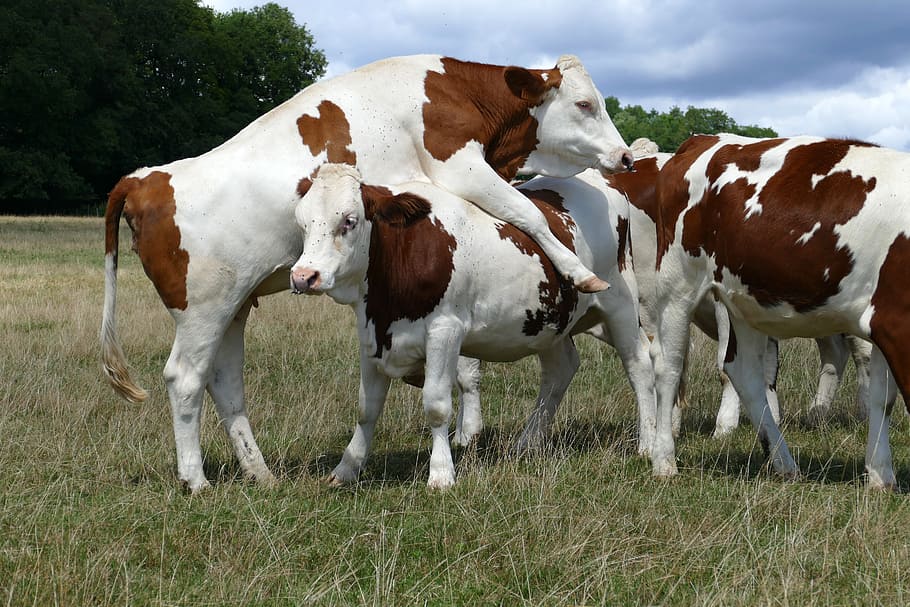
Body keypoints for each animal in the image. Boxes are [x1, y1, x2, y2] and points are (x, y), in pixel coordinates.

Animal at [288, 163, 656, 488]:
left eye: (349, 221)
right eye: (302, 223)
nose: (304, 276)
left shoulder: (444, 331)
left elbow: (436, 405)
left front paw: (441, 474)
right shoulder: (372, 336)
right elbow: (367, 409)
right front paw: (347, 468)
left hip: (620, 304)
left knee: (639, 365)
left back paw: (648, 443)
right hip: (550, 322)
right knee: (560, 370)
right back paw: (527, 442)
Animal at [648, 133, 909, 489]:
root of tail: (706, 139)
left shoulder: (885, 321)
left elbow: (884, 397)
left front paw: (881, 476)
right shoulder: (897, 321)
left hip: (743, 301)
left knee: (743, 371)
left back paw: (783, 462)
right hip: (677, 283)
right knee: (669, 366)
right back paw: (664, 461)